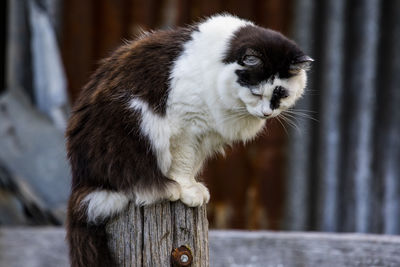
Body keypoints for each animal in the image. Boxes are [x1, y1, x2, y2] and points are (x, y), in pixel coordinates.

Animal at [66, 14, 312, 267]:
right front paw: (186, 191)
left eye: (280, 94)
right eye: (256, 93)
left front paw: (194, 188)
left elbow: (192, 164)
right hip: (133, 124)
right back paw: (166, 189)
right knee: (136, 187)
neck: (213, 69)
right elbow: (182, 165)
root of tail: (83, 181)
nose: (267, 113)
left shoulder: (203, 137)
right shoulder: (185, 126)